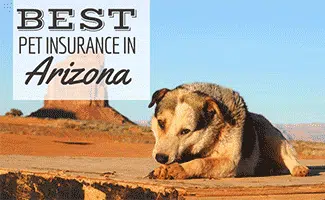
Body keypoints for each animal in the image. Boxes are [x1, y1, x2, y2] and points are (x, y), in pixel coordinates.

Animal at [147, 82, 308, 179]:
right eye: (160, 123)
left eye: (185, 131)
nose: (160, 158)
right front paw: (164, 169)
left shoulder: (230, 162)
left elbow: (203, 163)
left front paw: (179, 169)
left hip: (270, 134)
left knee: (287, 155)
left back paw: (299, 168)